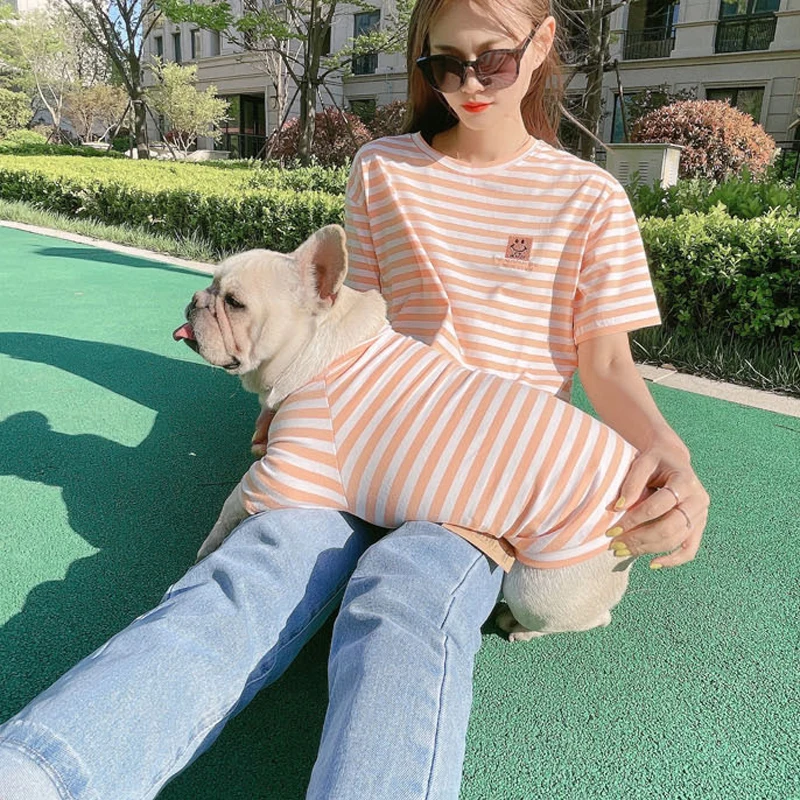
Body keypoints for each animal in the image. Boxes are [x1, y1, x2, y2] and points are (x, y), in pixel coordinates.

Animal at [173, 227, 636, 644]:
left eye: (234, 303)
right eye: (211, 285)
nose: (195, 300)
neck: (320, 352)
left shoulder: (284, 471)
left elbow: (234, 499)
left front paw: (208, 545)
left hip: (536, 589)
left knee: (589, 616)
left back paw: (521, 628)